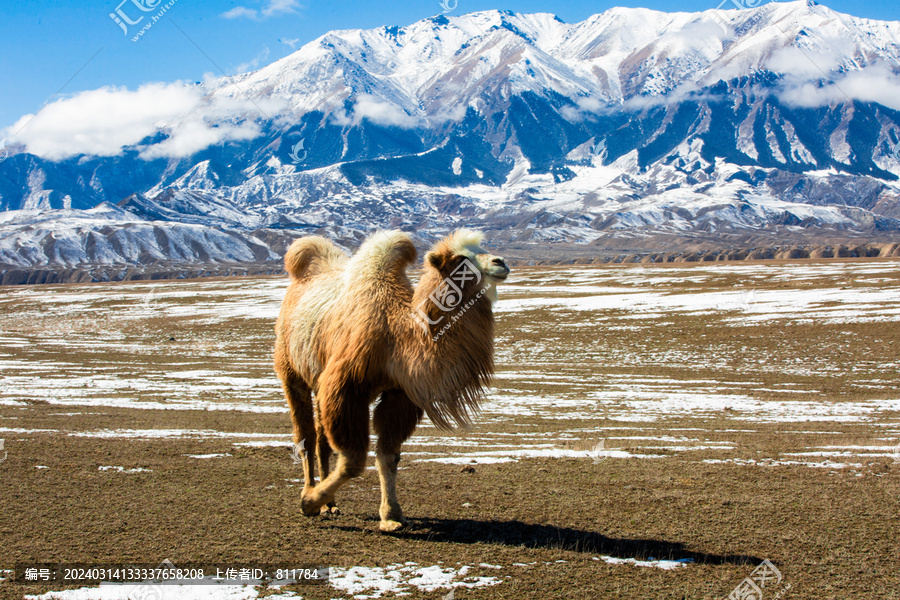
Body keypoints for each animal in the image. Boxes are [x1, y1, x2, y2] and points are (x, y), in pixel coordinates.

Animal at [274, 229, 510, 528]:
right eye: (460, 260)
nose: (501, 262)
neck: (398, 333)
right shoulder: (345, 386)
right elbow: (353, 460)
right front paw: (308, 502)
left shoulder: (399, 394)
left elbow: (389, 456)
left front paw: (391, 515)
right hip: (291, 372)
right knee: (305, 435)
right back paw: (311, 493)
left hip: (316, 376)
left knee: (321, 438)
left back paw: (331, 503)